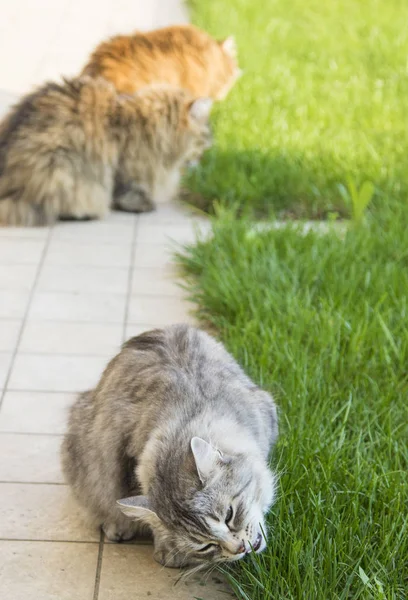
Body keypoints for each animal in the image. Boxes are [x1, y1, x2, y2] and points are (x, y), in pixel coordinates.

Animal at [0, 75, 212, 225]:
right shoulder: (124, 166)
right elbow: (126, 189)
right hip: (59, 168)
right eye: (204, 140)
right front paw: (141, 204)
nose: (204, 158)